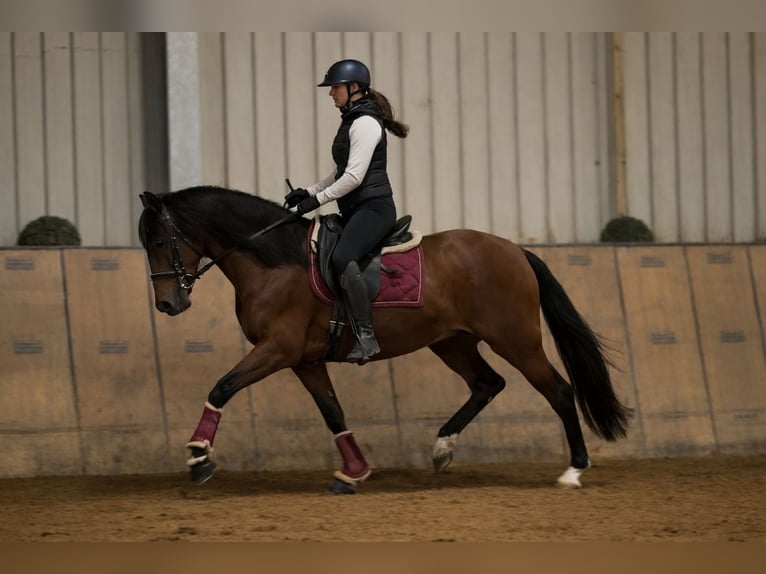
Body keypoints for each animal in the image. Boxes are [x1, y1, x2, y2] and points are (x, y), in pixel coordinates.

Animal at [138, 185, 632, 492]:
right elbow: (333, 413)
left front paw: (199, 457)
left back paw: (573, 471)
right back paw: (442, 448)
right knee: (487, 384)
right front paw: (354, 472)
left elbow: (222, 386)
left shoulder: (276, 349)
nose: (167, 304)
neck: (274, 261)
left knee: (559, 391)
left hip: (516, 340)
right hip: (452, 341)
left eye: (161, 240)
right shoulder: (303, 359)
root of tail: (515, 251)